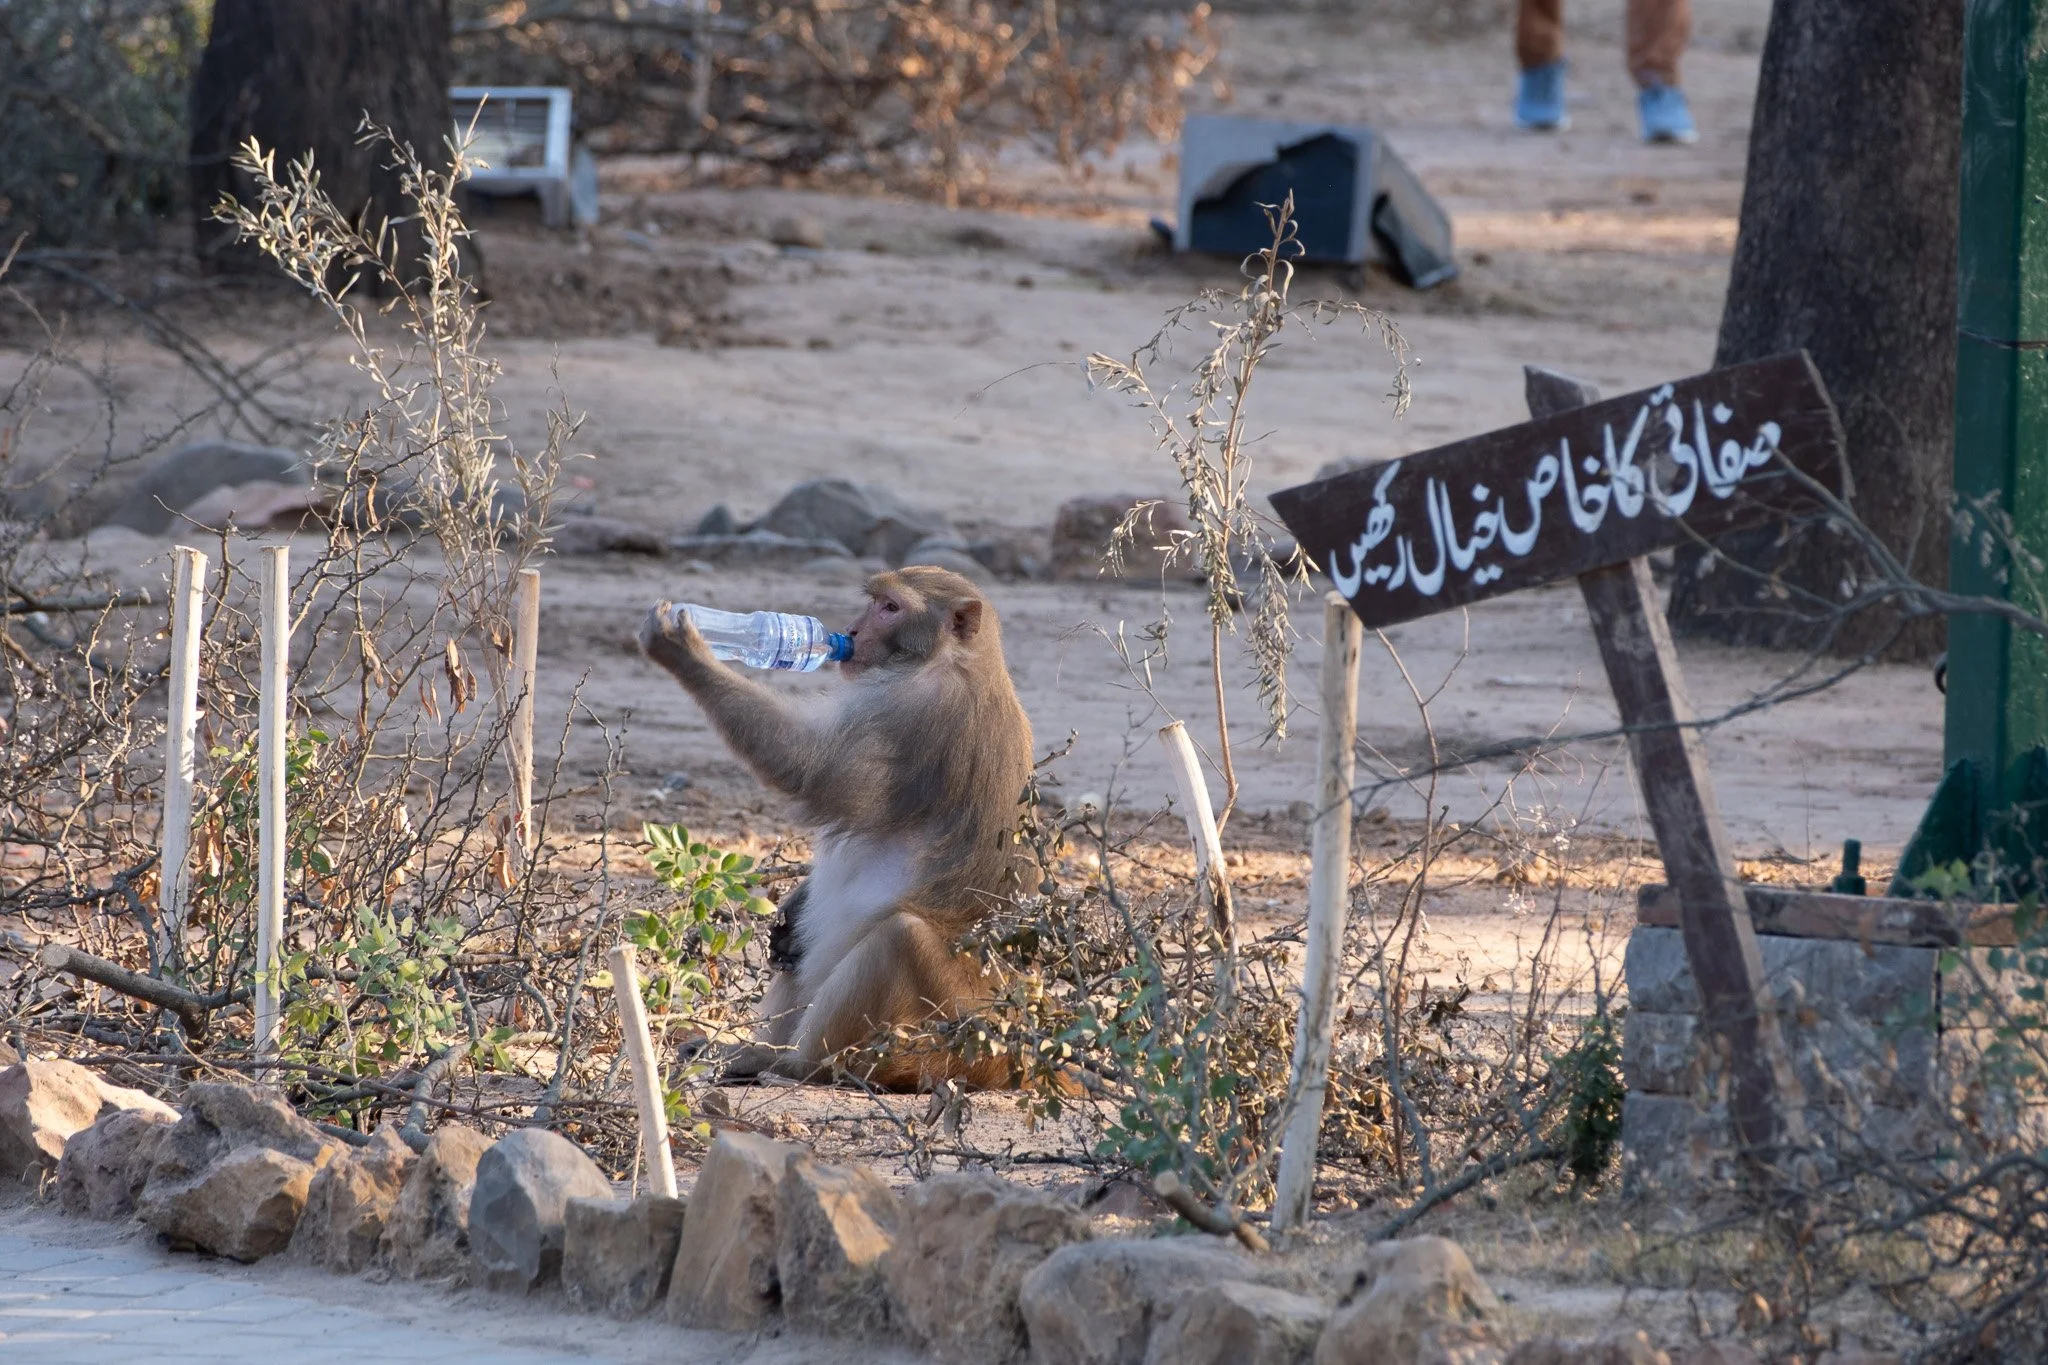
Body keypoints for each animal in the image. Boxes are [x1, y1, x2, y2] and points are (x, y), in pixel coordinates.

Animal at [636, 566, 1033, 1090]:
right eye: (875, 602)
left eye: (891, 608)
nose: (854, 630)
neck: (958, 660)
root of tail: (1012, 1057)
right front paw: (790, 908)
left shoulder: (913, 709)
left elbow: (811, 769)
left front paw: (685, 648)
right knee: (808, 950)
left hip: (949, 1037)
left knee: (899, 938)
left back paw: (794, 1066)